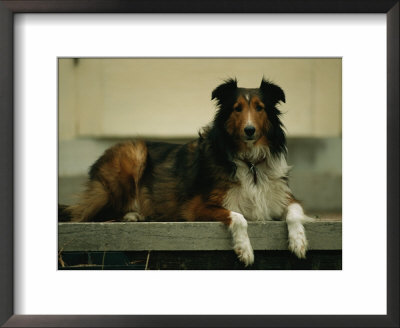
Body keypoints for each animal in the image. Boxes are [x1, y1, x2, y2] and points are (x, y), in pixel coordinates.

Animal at [59, 78, 310, 266]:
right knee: (88, 215)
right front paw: (245, 250)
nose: (249, 130)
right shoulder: (194, 207)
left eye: (260, 107)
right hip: (133, 156)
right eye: (237, 108)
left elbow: (295, 212)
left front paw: (298, 243)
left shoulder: (282, 196)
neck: (250, 162)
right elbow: (238, 217)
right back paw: (132, 214)